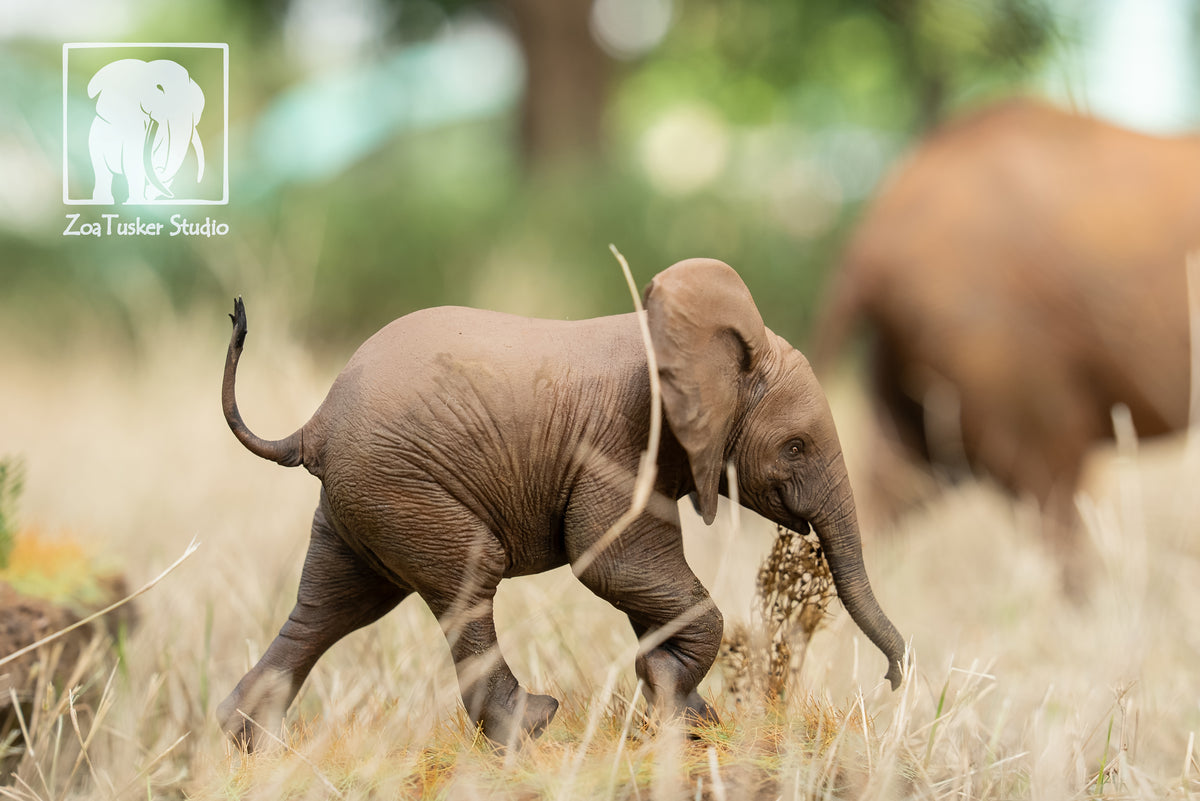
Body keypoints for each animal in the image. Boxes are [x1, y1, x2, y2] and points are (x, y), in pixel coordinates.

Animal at [216, 258, 906, 750]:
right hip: (401, 487)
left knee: (335, 604)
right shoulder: (620, 441)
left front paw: (683, 711)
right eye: (795, 446)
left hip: (363, 500)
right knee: (467, 581)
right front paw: (670, 694)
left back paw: (249, 741)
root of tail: (315, 425)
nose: (894, 680)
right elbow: (611, 562)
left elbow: (638, 579)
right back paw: (532, 728)